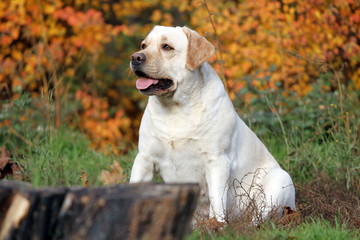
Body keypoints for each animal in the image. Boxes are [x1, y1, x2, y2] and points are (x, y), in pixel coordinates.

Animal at [129, 25, 296, 221]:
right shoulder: (144, 158)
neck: (176, 108)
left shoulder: (217, 160)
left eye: (167, 47)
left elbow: (216, 200)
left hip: (279, 181)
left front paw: (218, 224)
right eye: (144, 45)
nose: (136, 57)